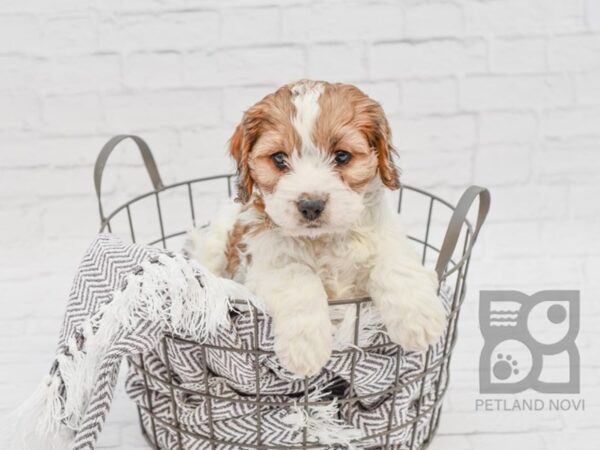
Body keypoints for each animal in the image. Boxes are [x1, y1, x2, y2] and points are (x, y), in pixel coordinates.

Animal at [188, 80, 446, 376]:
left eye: (342, 156)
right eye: (279, 159)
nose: (311, 205)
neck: (324, 238)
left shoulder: (385, 235)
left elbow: (396, 262)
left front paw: (419, 318)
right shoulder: (265, 264)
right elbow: (297, 275)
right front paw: (305, 347)